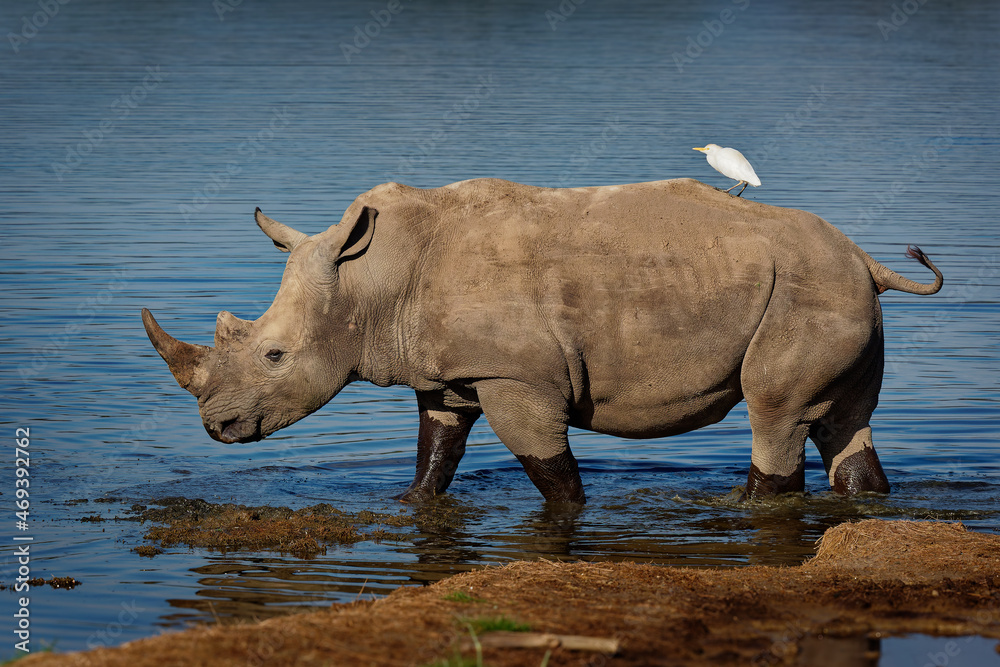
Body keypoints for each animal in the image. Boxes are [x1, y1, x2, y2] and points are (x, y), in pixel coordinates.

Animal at [142, 178, 942, 504]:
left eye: (274, 355)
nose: (217, 429)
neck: (372, 280)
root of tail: (868, 258)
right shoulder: (448, 375)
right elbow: (436, 456)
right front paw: (409, 502)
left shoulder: (515, 379)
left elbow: (552, 471)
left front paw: (571, 514)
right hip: (833, 287)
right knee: (844, 421)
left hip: (809, 289)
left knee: (773, 413)